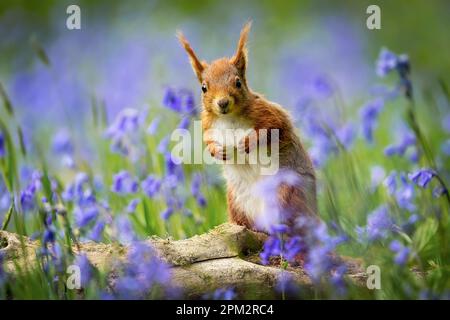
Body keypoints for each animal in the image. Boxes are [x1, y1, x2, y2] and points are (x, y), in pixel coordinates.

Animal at [176, 21, 316, 232]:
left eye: (238, 82)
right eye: (203, 88)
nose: (223, 103)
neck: (229, 118)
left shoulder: (267, 113)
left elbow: (273, 128)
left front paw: (247, 143)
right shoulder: (209, 126)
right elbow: (209, 142)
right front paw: (218, 151)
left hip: (285, 192)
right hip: (237, 202)